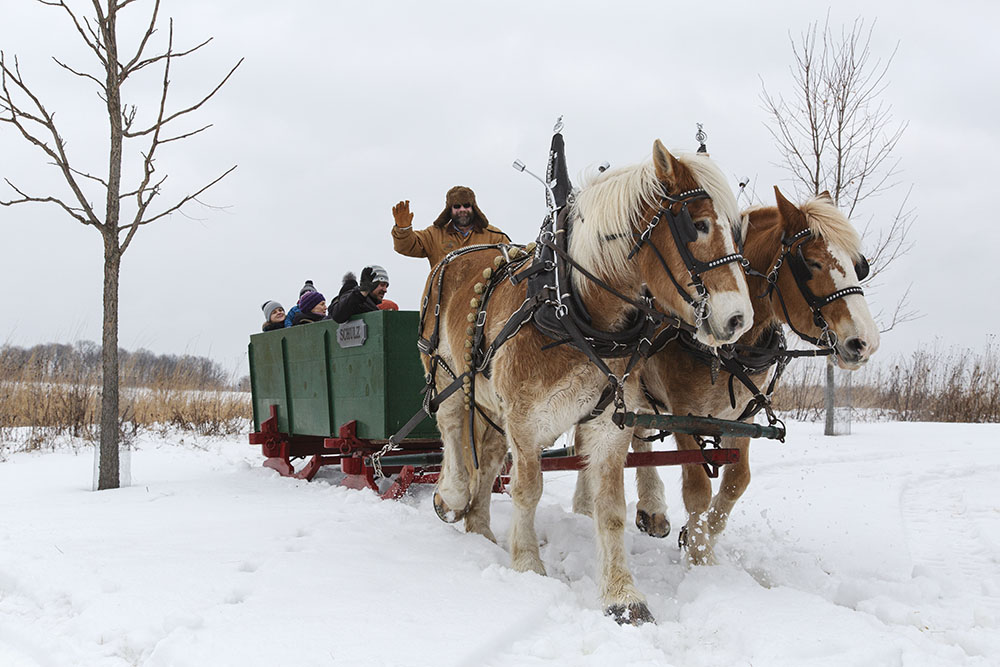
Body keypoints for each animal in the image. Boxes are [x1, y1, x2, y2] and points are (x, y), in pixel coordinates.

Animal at [420, 142, 752, 628]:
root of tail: (462, 253)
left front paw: (622, 595)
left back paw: (479, 528)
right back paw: (453, 494)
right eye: (700, 224)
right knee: (451, 427)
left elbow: (611, 509)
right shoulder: (525, 420)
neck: (572, 308)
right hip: (446, 372)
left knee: (490, 455)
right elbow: (527, 490)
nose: (738, 319)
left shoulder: (608, 425)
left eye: (736, 231)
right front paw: (527, 566)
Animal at [576, 185, 880, 568]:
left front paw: (700, 536)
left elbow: (737, 481)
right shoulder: (685, 416)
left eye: (858, 266)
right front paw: (700, 558)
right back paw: (589, 506)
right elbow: (697, 488)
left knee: (635, 435)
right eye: (811, 262)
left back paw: (651, 510)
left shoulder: (741, 418)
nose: (865, 342)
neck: (729, 352)